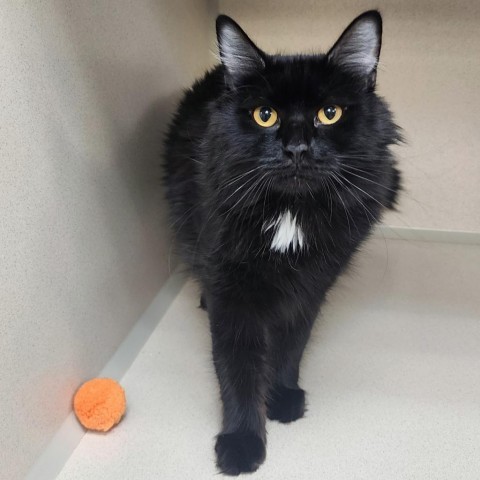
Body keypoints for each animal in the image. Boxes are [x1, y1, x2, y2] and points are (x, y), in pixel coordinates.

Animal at [165, 11, 402, 476]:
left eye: (329, 113)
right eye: (265, 115)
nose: (296, 149)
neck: (290, 215)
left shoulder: (311, 284)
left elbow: (292, 343)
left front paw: (282, 395)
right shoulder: (231, 291)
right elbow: (236, 366)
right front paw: (242, 441)